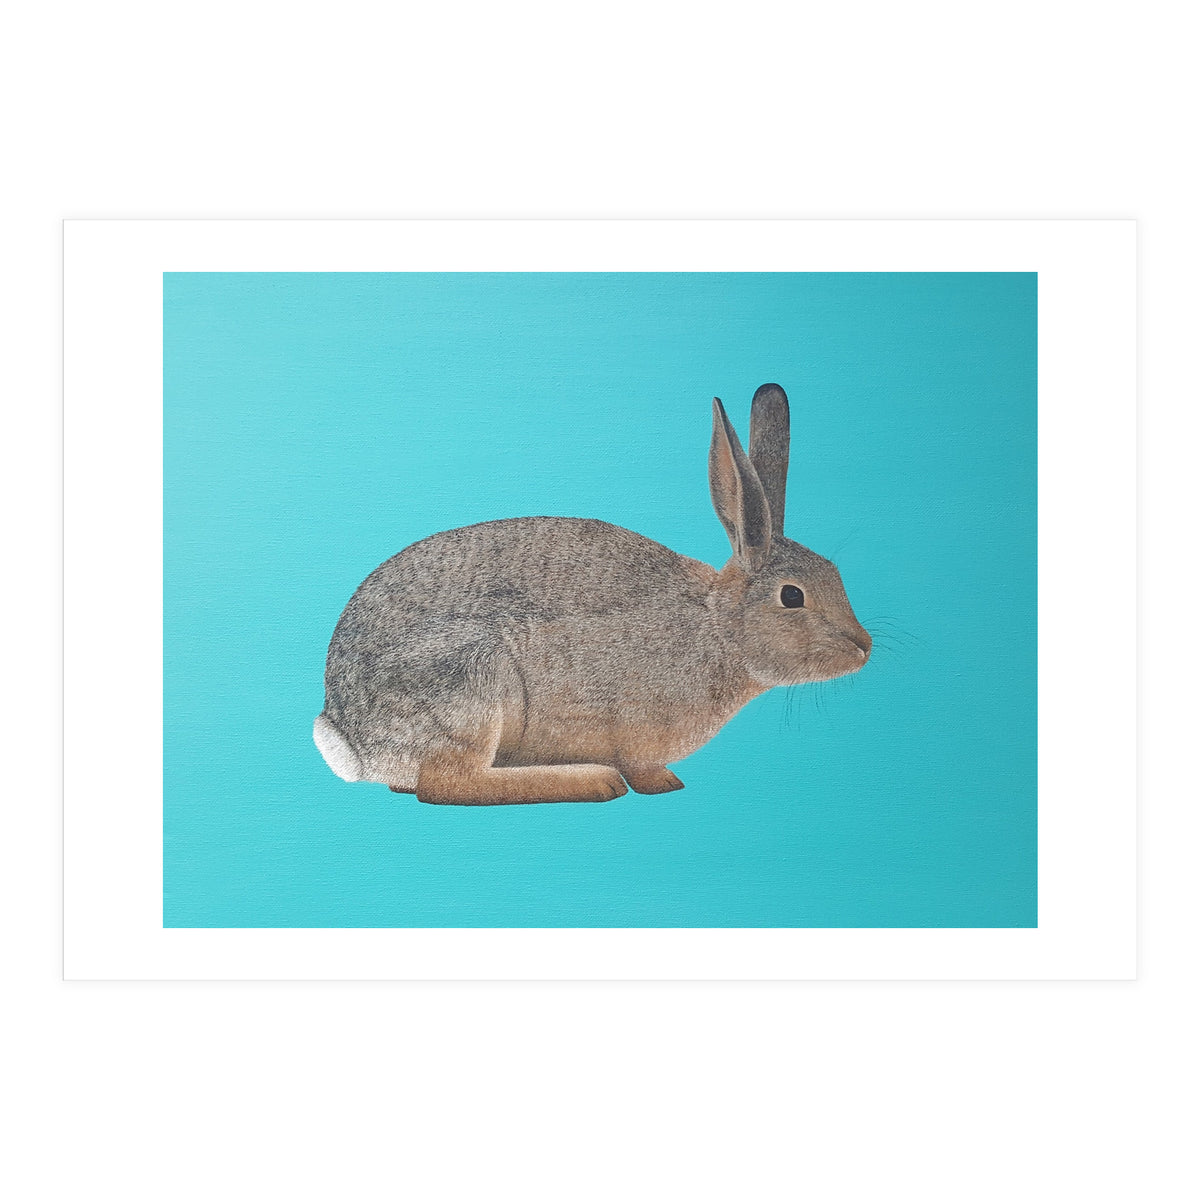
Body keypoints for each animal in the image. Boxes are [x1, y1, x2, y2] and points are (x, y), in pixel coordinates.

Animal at [314, 383, 872, 804]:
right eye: (793, 597)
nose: (863, 647)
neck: (719, 627)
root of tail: (351, 737)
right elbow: (643, 769)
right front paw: (662, 784)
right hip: (471, 679)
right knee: (447, 784)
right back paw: (593, 780)